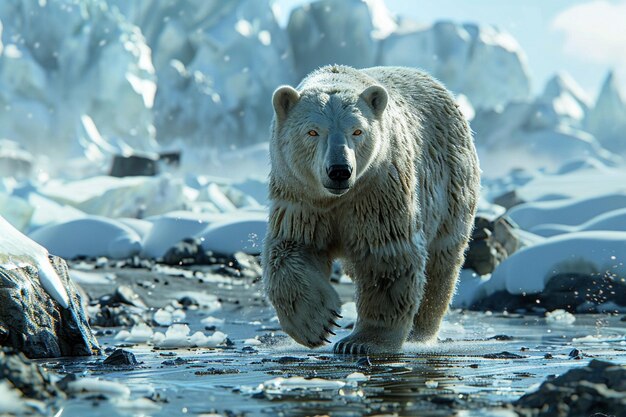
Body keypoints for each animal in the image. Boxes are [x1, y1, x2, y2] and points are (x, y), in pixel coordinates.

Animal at [260, 63, 480, 352]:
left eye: (357, 131)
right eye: (312, 131)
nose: (340, 171)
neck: (339, 198)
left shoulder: (378, 190)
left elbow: (384, 256)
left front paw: (361, 342)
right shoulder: (301, 196)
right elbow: (292, 248)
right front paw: (317, 324)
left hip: (451, 186)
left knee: (441, 263)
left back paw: (420, 332)